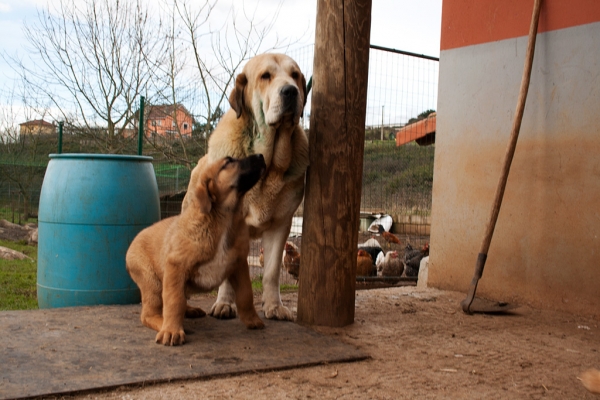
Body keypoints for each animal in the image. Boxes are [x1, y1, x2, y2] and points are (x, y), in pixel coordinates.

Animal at [126, 155, 264, 346]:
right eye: (228, 162)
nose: (261, 156)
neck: (224, 221)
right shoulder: (176, 267)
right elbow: (174, 301)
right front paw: (171, 330)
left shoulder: (239, 265)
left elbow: (246, 295)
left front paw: (252, 320)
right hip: (152, 282)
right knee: (150, 313)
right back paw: (165, 324)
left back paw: (189, 311)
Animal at [183, 53, 310, 322]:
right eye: (265, 76)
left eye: (295, 75)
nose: (290, 91)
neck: (267, 165)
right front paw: (224, 304)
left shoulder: (280, 226)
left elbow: (271, 272)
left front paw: (274, 307)